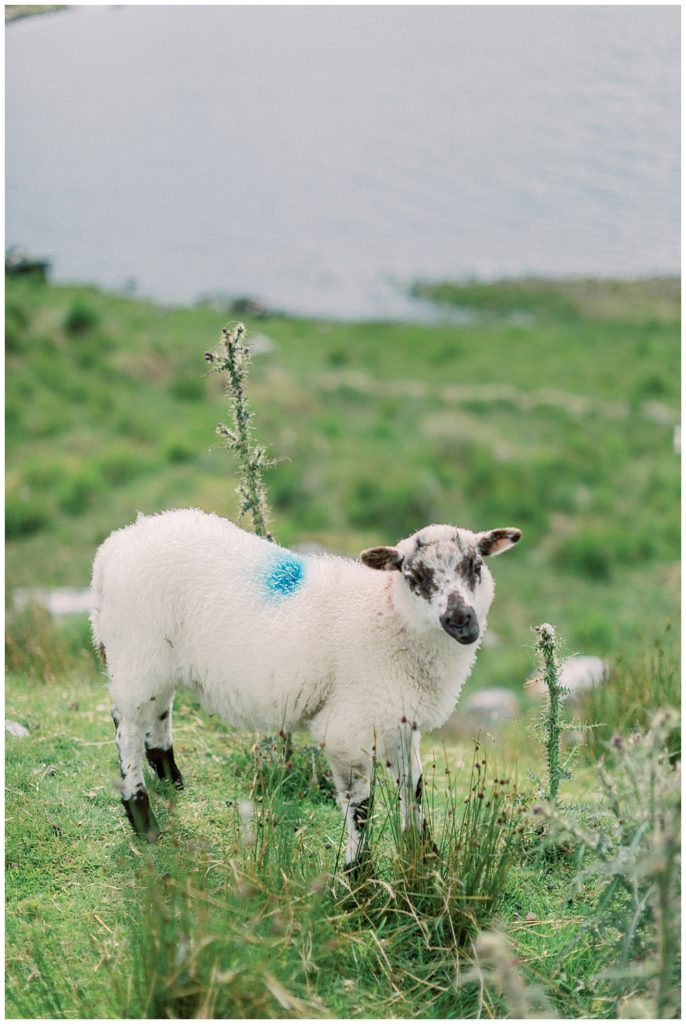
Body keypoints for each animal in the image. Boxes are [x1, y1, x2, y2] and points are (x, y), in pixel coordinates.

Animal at [90, 507, 522, 860]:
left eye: (475, 566)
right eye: (414, 576)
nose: (461, 620)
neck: (389, 615)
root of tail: (116, 544)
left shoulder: (399, 718)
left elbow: (413, 789)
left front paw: (425, 854)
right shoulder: (349, 728)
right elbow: (361, 810)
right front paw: (355, 876)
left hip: (157, 660)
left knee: (159, 710)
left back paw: (170, 776)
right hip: (136, 653)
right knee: (127, 727)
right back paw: (142, 816)